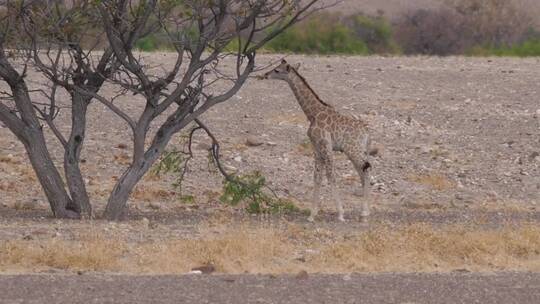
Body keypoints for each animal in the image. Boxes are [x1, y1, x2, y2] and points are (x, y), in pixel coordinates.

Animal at [264, 59, 374, 222]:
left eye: (277, 70)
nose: (266, 74)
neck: (312, 113)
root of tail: (367, 133)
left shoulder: (325, 145)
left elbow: (331, 176)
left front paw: (340, 214)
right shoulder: (316, 147)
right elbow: (317, 177)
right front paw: (312, 215)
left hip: (353, 150)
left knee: (366, 170)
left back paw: (364, 213)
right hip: (359, 151)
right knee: (363, 172)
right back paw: (364, 212)